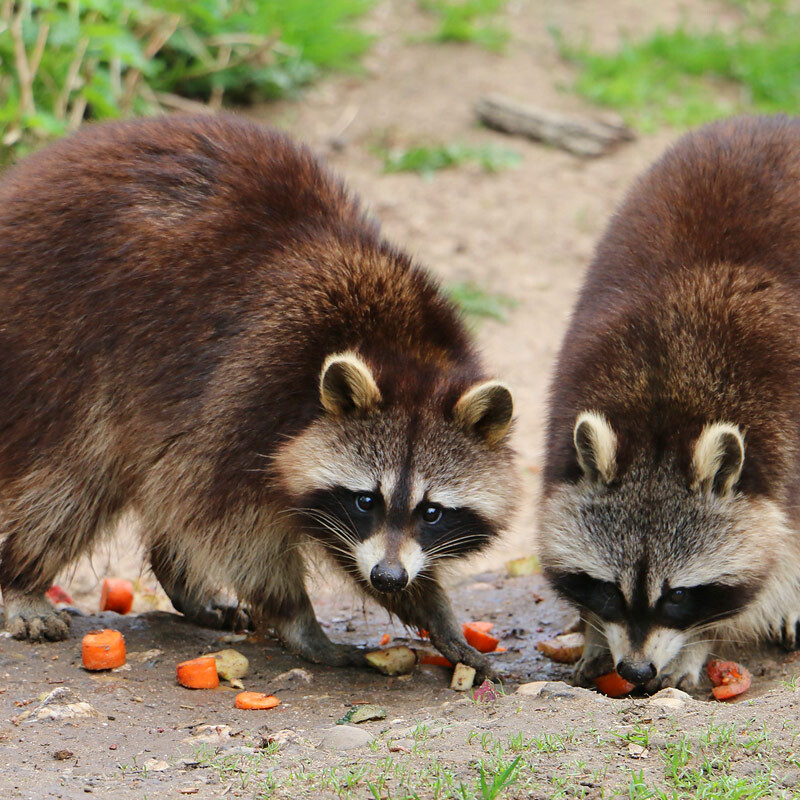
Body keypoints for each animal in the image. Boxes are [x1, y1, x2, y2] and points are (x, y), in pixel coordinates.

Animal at [0, 112, 520, 680]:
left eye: (432, 512)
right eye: (366, 499)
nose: (388, 578)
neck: (400, 348)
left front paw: (433, 608)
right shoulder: (250, 386)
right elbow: (224, 518)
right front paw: (298, 617)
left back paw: (181, 581)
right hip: (55, 334)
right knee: (70, 473)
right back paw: (22, 577)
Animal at [536, 114, 800, 692]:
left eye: (679, 596)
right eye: (607, 590)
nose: (635, 670)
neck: (665, 401)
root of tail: (768, 119)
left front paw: (704, 639)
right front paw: (594, 633)